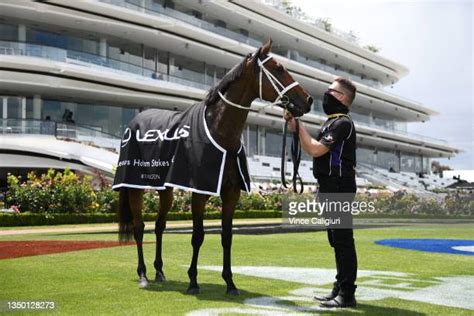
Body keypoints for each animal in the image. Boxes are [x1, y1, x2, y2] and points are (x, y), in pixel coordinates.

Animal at [114, 39, 314, 294]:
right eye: (278, 68)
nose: (308, 100)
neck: (219, 132)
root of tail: (135, 121)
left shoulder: (231, 192)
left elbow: (226, 236)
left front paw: (230, 282)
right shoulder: (199, 192)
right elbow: (198, 236)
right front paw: (193, 281)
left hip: (165, 189)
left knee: (159, 226)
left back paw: (159, 271)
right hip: (134, 186)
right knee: (139, 227)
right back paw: (143, 275)